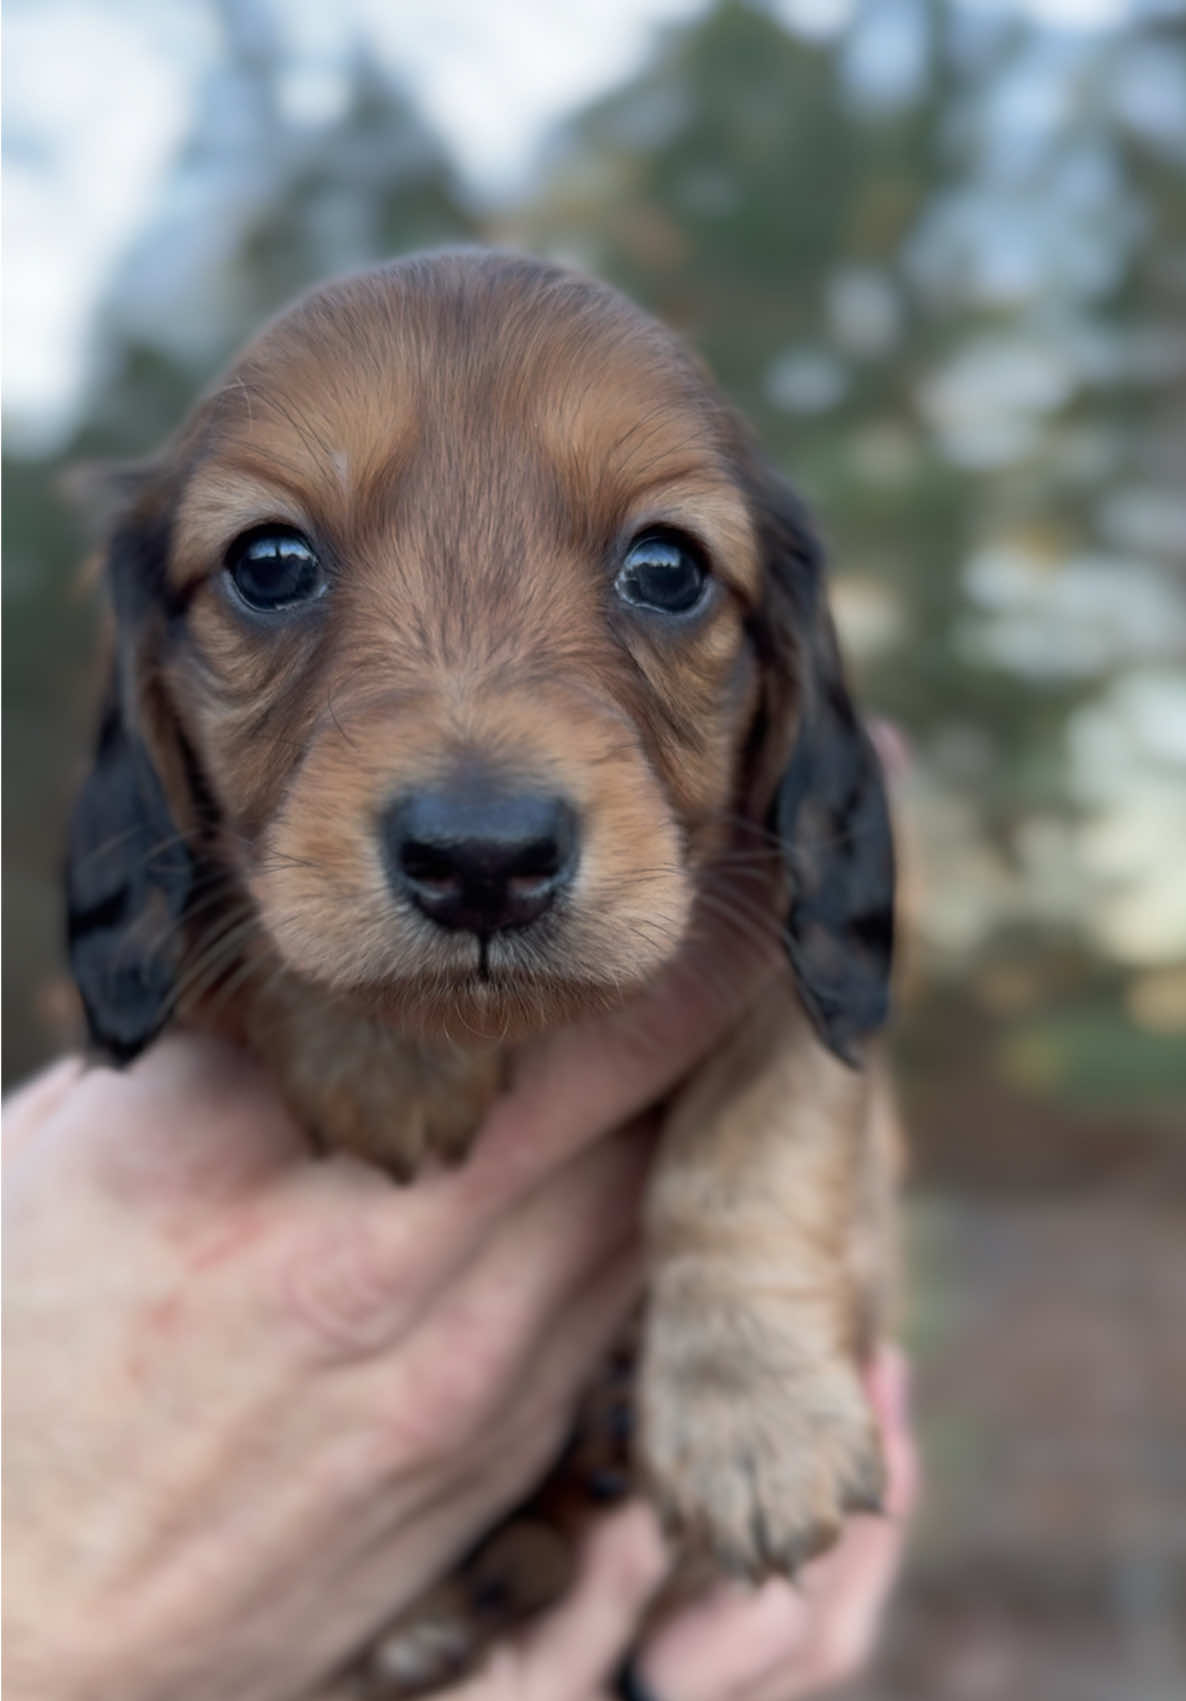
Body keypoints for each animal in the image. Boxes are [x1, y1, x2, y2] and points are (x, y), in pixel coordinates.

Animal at [64, 248, 891, 1687]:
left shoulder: (802, 950)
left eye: (667, 567)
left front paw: (754, 1415)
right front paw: (387, 1054)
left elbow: (756, 1129)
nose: (483, 860)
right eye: (268, 562)